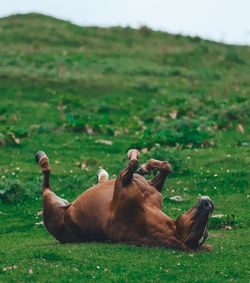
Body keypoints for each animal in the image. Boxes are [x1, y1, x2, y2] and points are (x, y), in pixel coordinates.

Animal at [35, 150, 214, 252]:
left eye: (200, 232)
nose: (208, 204)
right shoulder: (151, 187)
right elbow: (166, 166)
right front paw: (147, 167)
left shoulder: (122, 180)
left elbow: (133, 162)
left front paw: (140, 161)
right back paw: (103, 175)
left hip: (50, 201)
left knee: (45, 182)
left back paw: (42, 158)